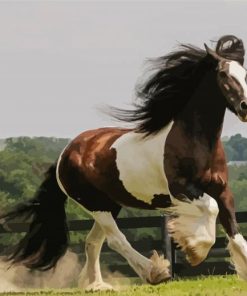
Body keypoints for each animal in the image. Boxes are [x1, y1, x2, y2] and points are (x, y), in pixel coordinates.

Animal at [1, 35, 247, 292]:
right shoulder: (181, 190)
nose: (245, 107)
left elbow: (235, 234)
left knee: (93, 241)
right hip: (95, 205)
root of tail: (64, 155)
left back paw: (97, 285)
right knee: (115, 240)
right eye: (224, 75)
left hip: (109, 204)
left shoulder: (223, 190)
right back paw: (154, 272)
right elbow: (211, 209)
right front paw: (194, 250)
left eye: (245, 74)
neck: (194, 140)